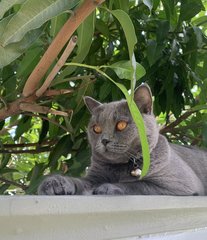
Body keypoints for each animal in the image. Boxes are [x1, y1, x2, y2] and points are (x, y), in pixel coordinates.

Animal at [38, 83, 207, 196]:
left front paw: (107, 187)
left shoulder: (179, 185)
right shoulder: (94, 176)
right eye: (96, 128)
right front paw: (54, 183)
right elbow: (80, 181)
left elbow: (139, 185)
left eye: (121, 125)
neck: (122, 168)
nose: (104, 140)